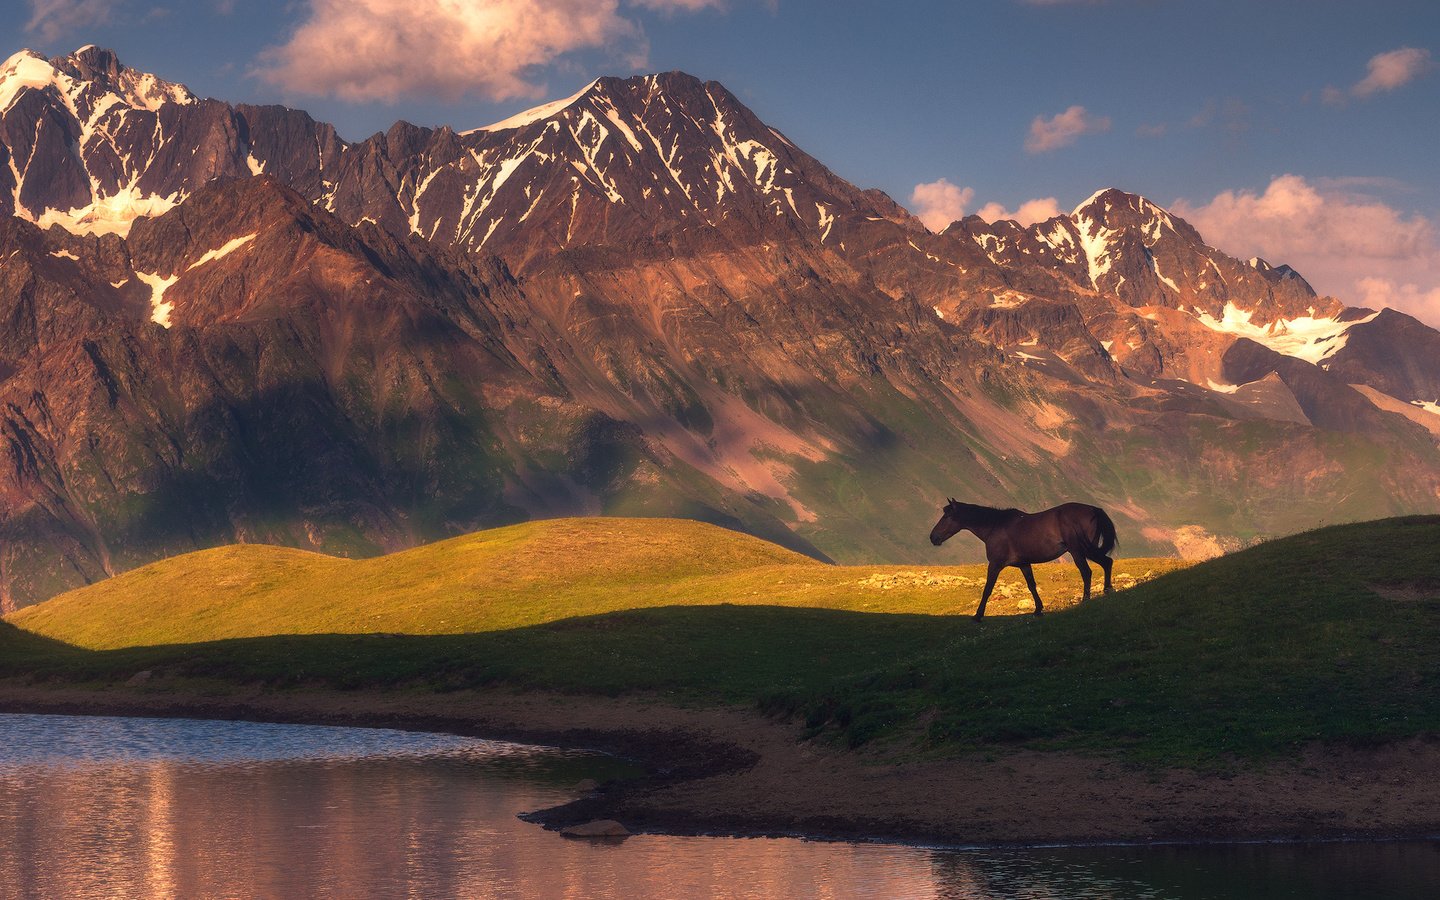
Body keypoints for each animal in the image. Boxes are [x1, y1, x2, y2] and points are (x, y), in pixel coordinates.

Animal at [927, 498, 1117, 616]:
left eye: (947, 516)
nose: (933, 537)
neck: (995, 526)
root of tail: (1094, 509)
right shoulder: (1024, 564)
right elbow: (1031, 586)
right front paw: (1038, 609)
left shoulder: (995, 564)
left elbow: (987, 589)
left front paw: (978, 615)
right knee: (1107, 563)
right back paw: (1107, 590)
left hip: (1079, 551)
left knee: (1088, 571)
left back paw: (1087, 599)